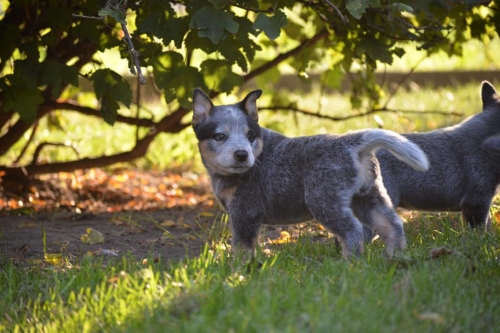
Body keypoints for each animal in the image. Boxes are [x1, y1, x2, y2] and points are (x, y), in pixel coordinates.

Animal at [192, 87, 430, 256]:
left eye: (250, 136)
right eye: (220, 136)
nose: (242, 154)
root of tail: (351, 143)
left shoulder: (245, 212)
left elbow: (242, 248)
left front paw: (240, 273)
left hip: (324, 201)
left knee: (353, 231)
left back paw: (350, 263)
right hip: (370, 197)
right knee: (393, 225)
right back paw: (396, 257)